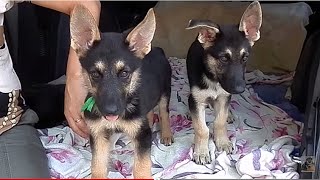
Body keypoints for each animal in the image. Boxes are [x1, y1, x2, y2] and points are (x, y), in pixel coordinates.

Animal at [69, 4, 172, 178]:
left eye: (124, 73)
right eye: (95, 74)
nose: (110, 111)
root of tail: (157, 49)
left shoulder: (142, 136)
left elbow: (141, 167)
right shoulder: (98, 134)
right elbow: (97, 166)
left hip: (165, 93)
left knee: (164, 113)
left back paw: (166, 134)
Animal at [185, 1, 262, 165]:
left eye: (245, 58)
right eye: (224, 58)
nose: (240, 89)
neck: (213, 79)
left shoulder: (224, 96)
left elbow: (219, 121)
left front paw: (223, 142)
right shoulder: (197, 100)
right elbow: (201, 128)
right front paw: (201, 151)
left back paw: (229, 114)